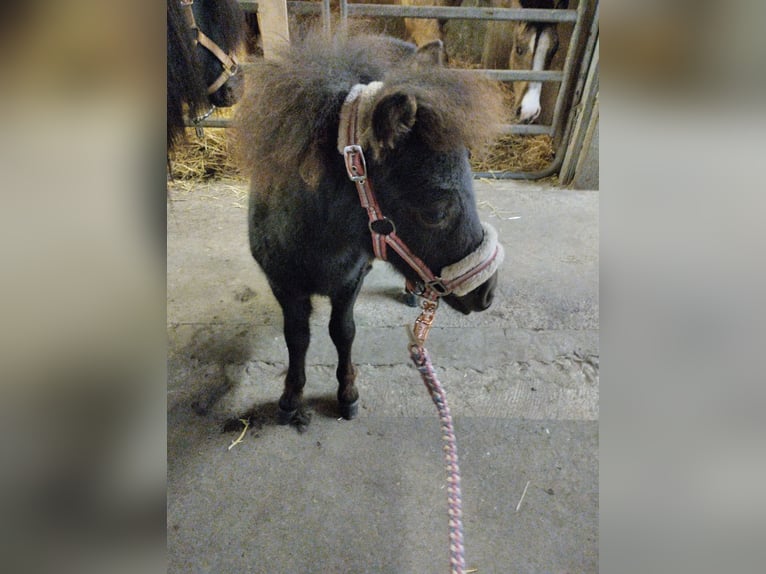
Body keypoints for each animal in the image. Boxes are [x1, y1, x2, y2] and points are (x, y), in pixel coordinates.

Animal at [237, 30, 508, 428]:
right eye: (435, 212)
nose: (487, 294)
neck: (321, 243)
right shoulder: (283, 285)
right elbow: (297, 336)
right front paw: (290, 397)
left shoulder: (352, 279)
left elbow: (343, 331)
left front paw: (347, 393)